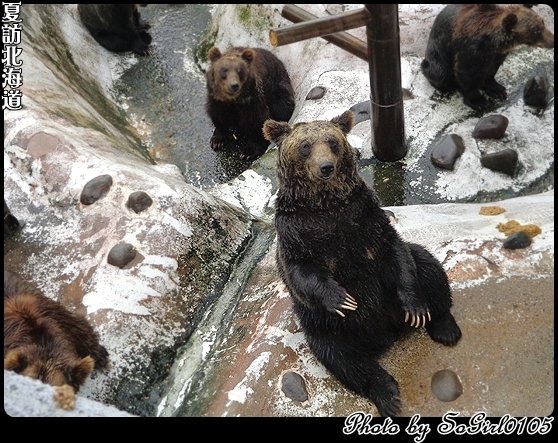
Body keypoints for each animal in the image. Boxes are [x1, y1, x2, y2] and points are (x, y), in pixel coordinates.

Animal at [264, 112, 462, 418]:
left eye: (332, 142)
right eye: (306, 146)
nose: (325, 167)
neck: (324, 205)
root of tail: (388, 334)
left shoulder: (364, 216)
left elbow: (394, 248)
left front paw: (416, 308)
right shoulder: (295, 232)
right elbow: (301, 271)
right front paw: (343, 299)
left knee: (426, 265)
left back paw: (444, 326)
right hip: (324, 325)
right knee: (343, 358)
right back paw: (387, 394)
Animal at [424, 3, 556, 111]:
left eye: (542, 22)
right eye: (535, 31)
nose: (552, 41)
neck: (493, 42)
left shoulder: (496, 54)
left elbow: (491, 70)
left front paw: (498, 90)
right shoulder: (470, 49)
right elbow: (466, 73)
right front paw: (480, 102)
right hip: (438, 54)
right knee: (440, 72)